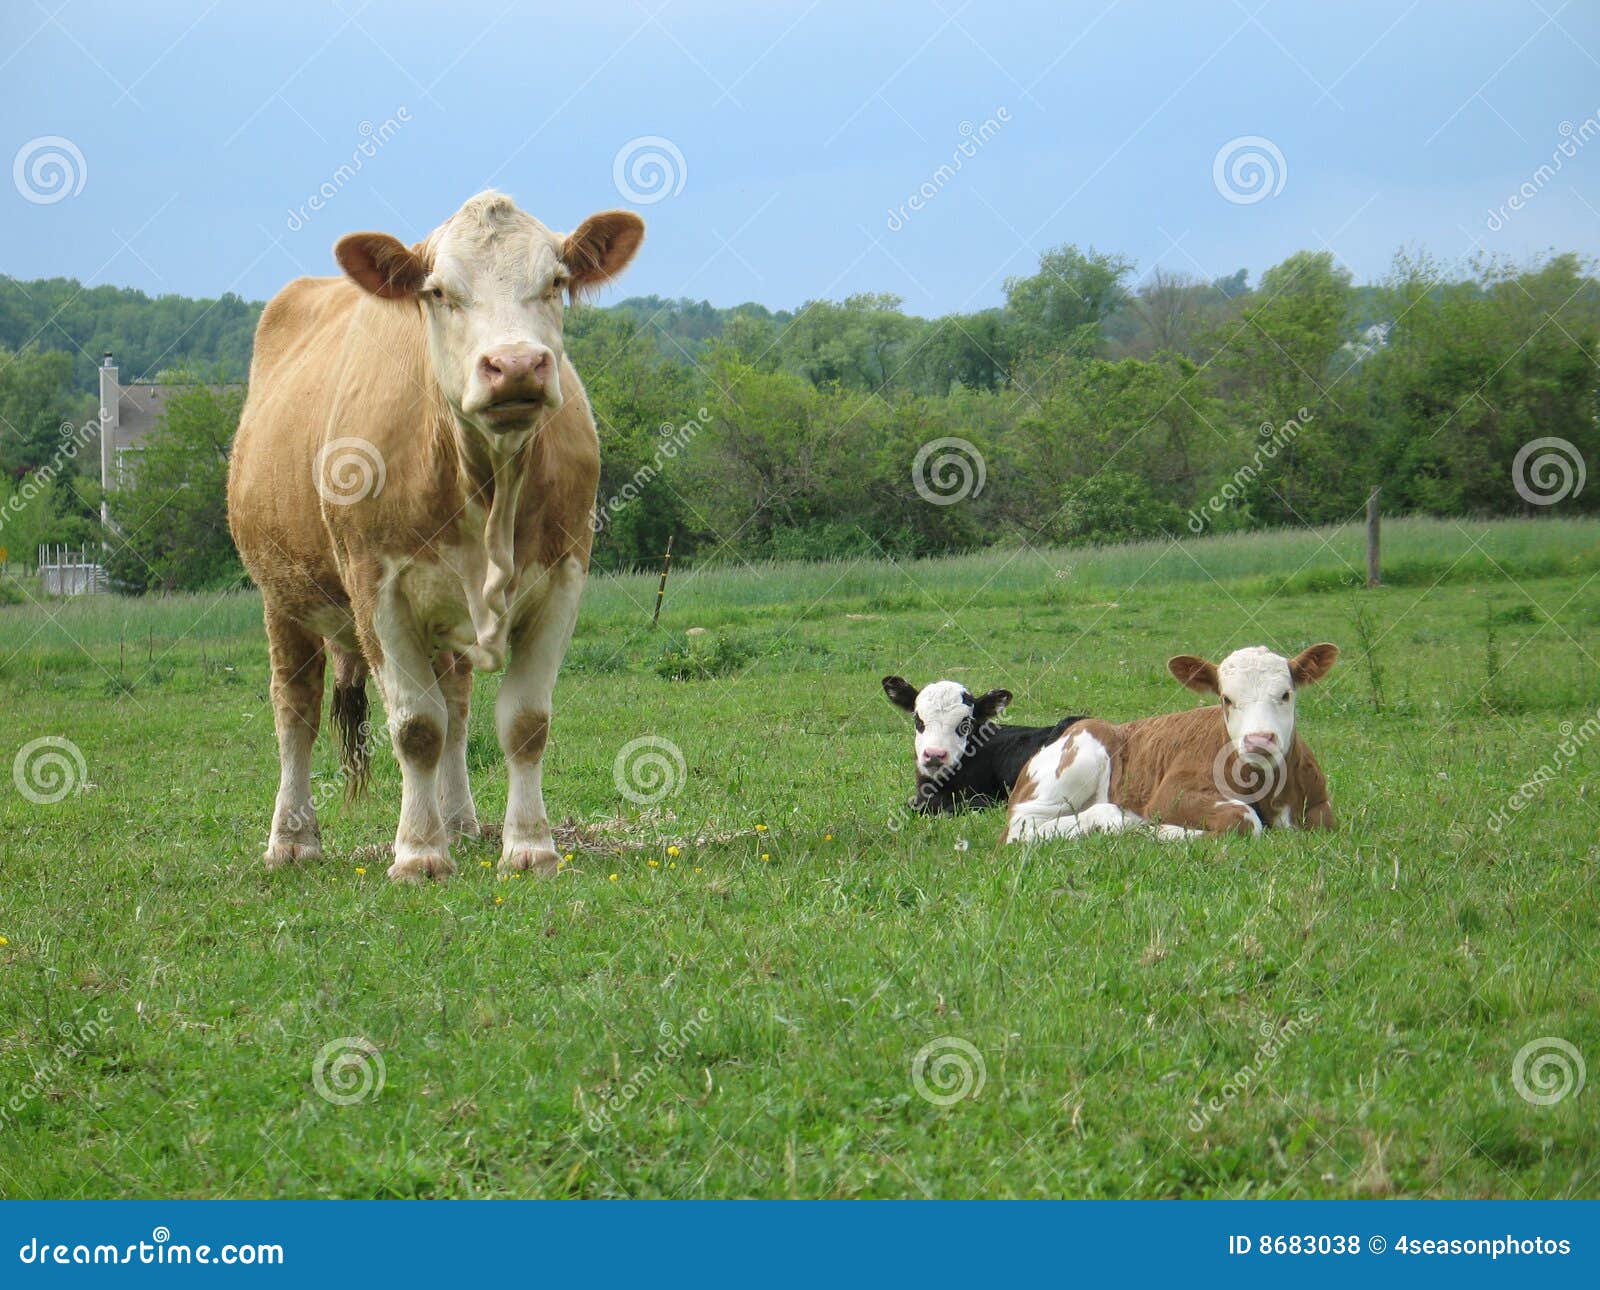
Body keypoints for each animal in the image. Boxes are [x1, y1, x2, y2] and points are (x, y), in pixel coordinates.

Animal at [228, 189, 640, 877]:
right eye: (439, 291)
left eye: (556, 281)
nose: (516, 365)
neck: (487, 481)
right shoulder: (379, 590)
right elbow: (416, 727)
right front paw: (419, 853)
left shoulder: (564, 578)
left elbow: (525, 722)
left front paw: (529, 846)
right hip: (282, 596)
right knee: (296, 710)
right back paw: (293, 838)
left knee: (457, 699)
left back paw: (461, 821)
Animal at [1011, 646, 1337, 851]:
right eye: (1226, 699)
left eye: (1285, 694)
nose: (1259, 740)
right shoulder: (1171, 795)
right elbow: (1242, 818)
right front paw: (1159, 830)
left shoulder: (1319, 807)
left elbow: (1320, 821)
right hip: (1082, 754)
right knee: (1021, 827)